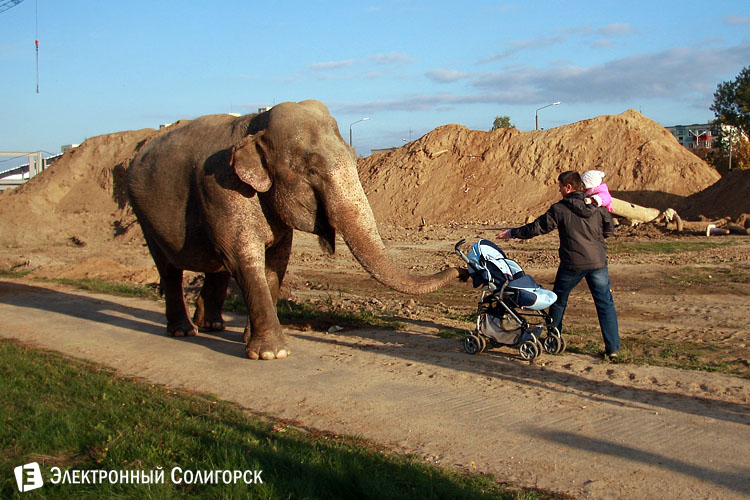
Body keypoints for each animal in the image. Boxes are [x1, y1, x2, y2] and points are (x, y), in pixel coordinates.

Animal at [127, 100, 462, 360]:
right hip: (144, 216)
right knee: (170, 268)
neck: (254, 126)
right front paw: (272, 353)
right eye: (311, 170)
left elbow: (277, 261)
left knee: (216, 266)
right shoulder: (221, 189)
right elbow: (243, 257)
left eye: (355, 159)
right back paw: (184, 331)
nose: (457, 266)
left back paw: (212, 325)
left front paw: (250, 341)